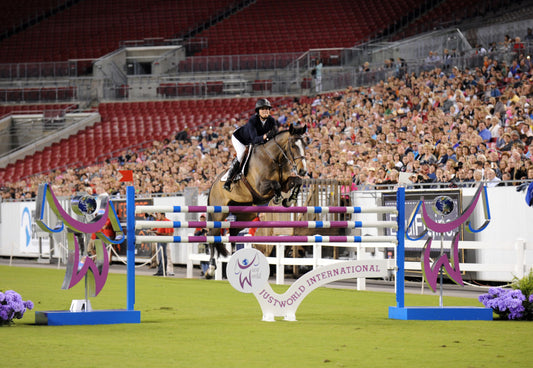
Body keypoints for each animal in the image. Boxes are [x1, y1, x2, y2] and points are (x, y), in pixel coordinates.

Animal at [205, 123, 308, 276]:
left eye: (305, 144)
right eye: (293, 145)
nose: (303, 171)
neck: (274, 159)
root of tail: (212, 185)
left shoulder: (286, 183)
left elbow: (296, 181)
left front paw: (289, 199)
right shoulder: (261, 187)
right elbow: (275, 185)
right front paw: (278, 198)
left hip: (246, 214)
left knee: (233, 232)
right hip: (219, 213)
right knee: (212, 235)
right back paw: (211, 268)